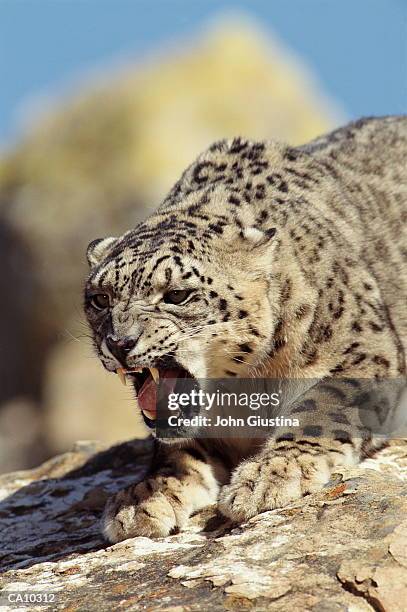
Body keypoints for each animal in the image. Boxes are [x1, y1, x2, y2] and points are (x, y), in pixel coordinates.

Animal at [83, 115, 407, 540]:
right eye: (100, 298)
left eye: (177, 294)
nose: (119, 342)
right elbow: (177, 451)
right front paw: (144, 498)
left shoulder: (366, 351)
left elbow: (322, 404)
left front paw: (272, 473)